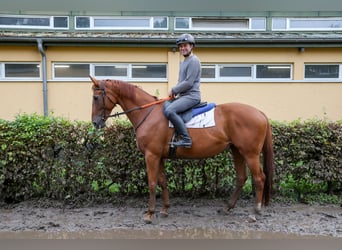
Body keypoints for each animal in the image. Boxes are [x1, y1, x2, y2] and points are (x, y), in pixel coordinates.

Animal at [89, 75, 274, 224]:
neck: (148, 113)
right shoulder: (159, 156)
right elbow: (162, 181)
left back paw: (254, 212)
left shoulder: (151, 155)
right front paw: (165, 209)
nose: (96, 123)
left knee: (259, 178)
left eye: (96, 97)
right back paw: (228, 207)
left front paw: (149, 213)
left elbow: (152, 182)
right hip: (237, 151)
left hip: (250, 154)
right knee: (242, 178)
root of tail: (259, 112)